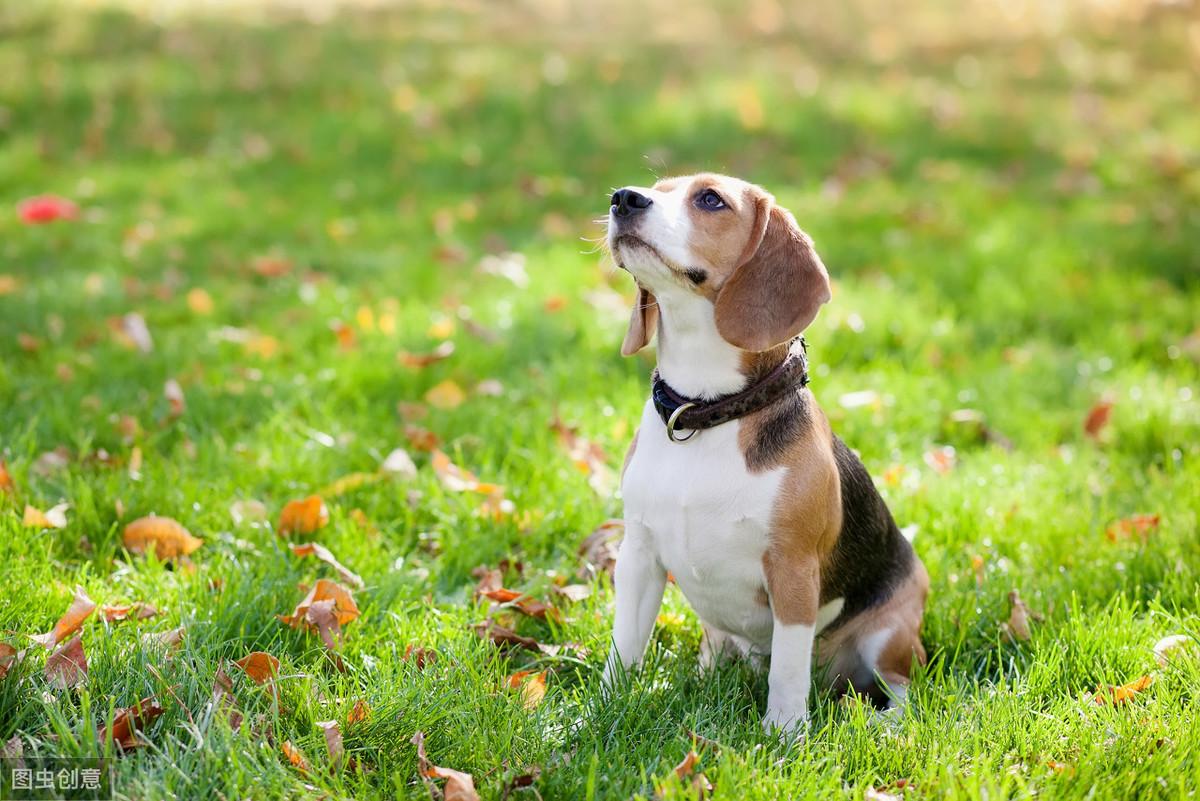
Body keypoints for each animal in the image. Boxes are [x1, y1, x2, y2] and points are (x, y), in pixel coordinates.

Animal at [600, 173, 926, 733]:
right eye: (657, 188)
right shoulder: (638, 555)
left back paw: (885, 725)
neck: (705, 411)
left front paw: (785, 737)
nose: (624, 198)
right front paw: (597, 714)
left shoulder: (792, 571)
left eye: (710, 199)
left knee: (899, 686)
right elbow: (624, 648)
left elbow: (788, 672)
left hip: (892, 633)